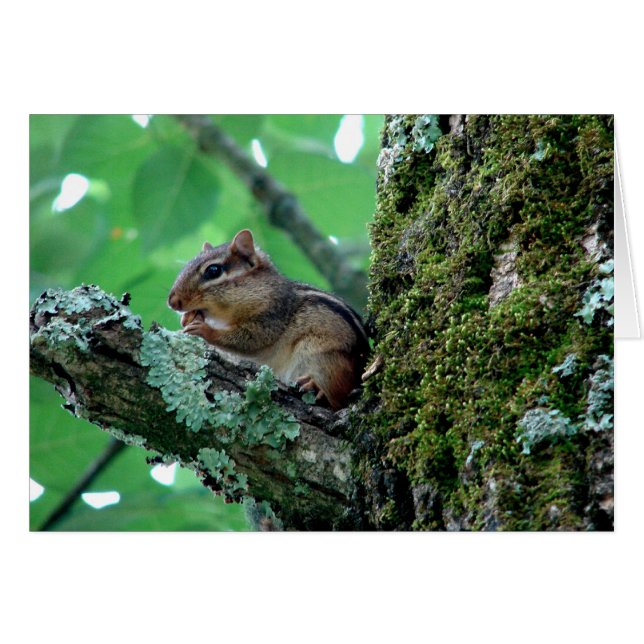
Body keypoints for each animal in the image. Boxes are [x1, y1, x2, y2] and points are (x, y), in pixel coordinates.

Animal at [167, 229, 369, 410]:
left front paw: (204, 329)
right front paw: (187, 318)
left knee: (338, 397)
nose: (172, 301)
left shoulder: (271, 317)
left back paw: (316, 386)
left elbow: (250, 340)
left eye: (213, 270)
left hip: (323, 359)